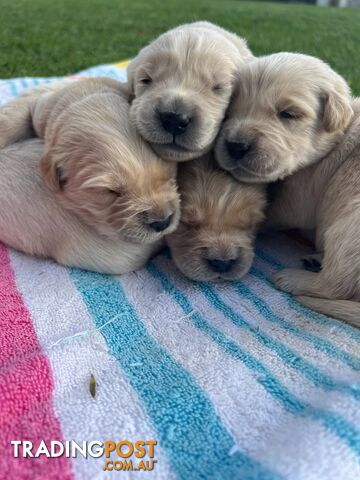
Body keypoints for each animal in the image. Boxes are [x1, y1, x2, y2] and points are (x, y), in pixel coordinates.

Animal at [215, 53, 358, 330]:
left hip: (348, 229)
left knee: (335, 286)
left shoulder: (300, 194)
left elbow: (272, 213)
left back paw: (291, 278)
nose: (236, 146)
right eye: (230, 111)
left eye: (288, 114)